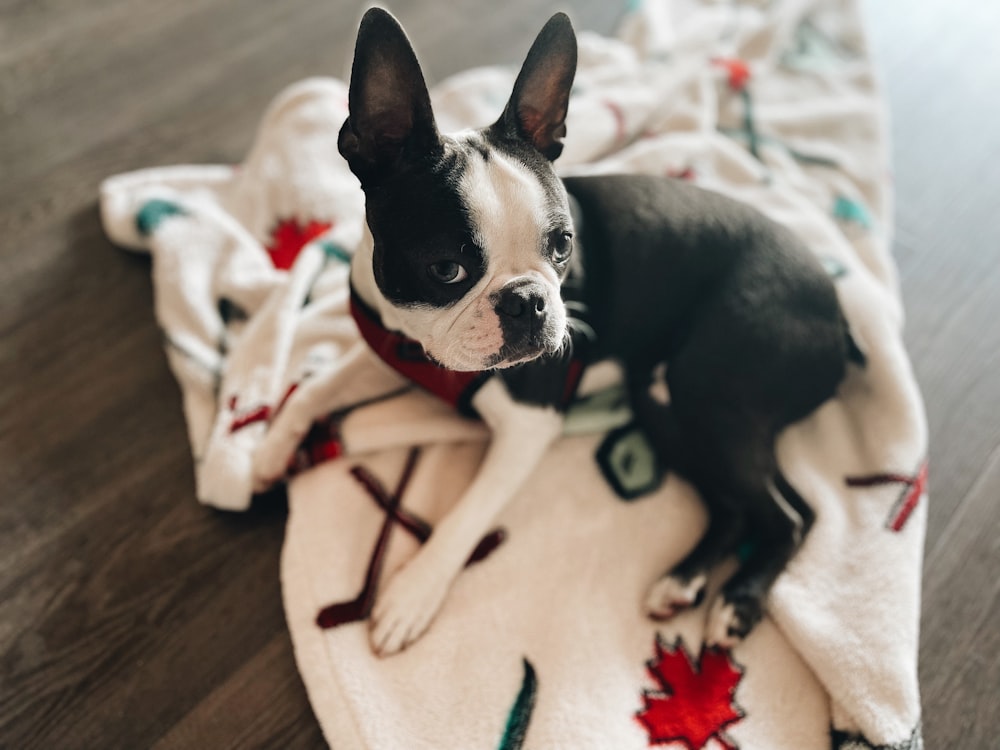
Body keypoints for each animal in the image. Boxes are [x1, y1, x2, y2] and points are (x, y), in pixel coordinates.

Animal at [334, 10, 860, 656]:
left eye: (563, 245)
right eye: (445, 268)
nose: (529, 302)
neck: (414, 344)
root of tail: (836, 313)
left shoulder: (530, 424)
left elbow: (469, 511)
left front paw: (414, 592)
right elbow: (338, 410)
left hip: (708, 389)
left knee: (788, 516)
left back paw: (738, 602)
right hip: (664, 400)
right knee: (740, 508)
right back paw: (683, 580)